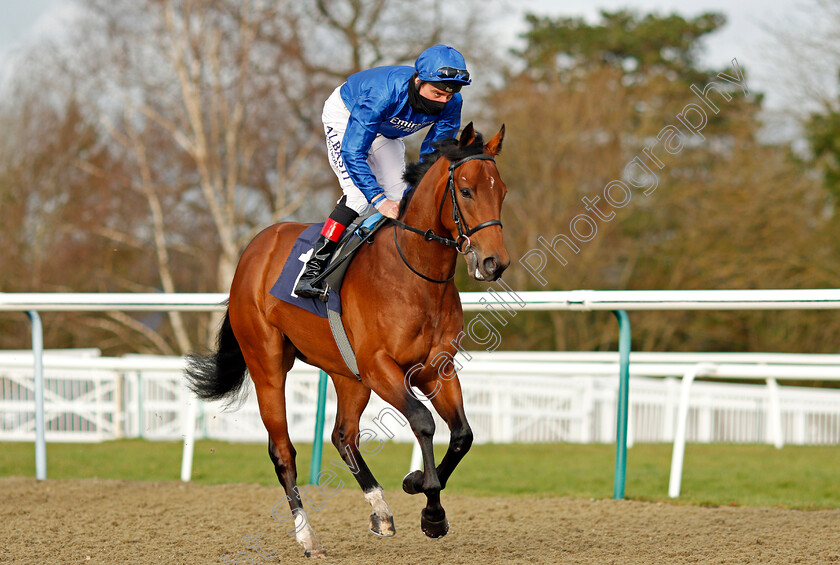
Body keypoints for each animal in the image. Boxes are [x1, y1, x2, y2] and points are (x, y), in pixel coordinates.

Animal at [186, 121, 508, 556]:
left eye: (501, 190)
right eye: (467, 190)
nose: (494, 263)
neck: (414, 275)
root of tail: (253, 250)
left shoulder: (435, 369)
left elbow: (462, 435)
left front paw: (417, 487)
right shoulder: (380, 367)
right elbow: (422, 421)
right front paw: (431, 508)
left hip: (346, 374)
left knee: (343, 435)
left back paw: (381, 511)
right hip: (267, 363)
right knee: (282, 450)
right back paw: (308, 537)